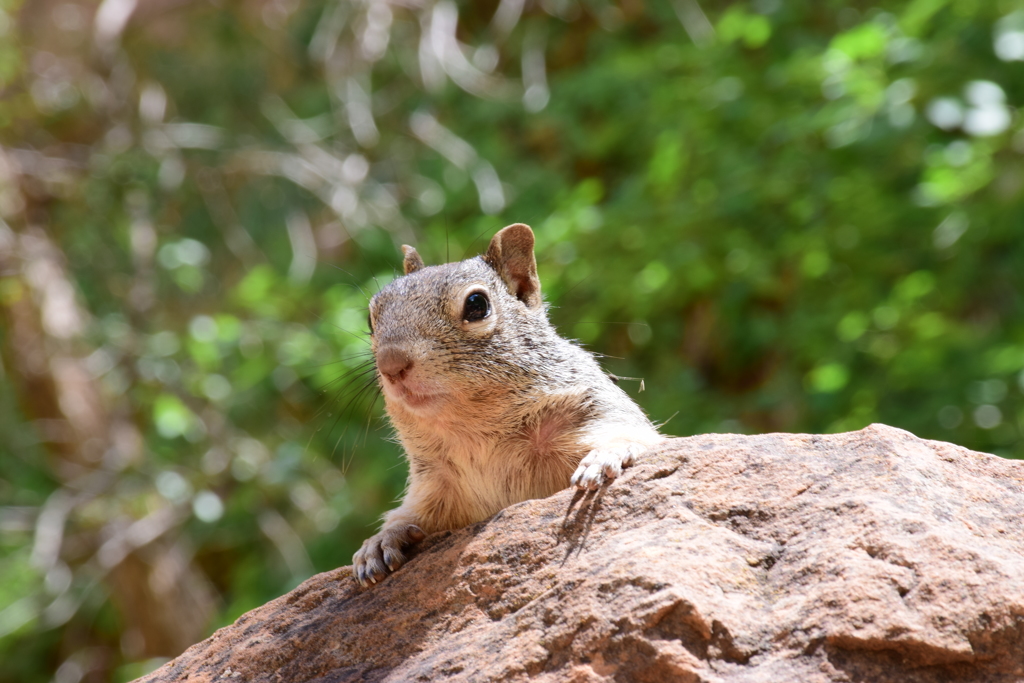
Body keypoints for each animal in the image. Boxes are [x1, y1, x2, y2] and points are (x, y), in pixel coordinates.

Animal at [352, 224, 663, 589]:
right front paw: (380, 541)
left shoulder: (596, 407)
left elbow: (635, 437)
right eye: (370, 318)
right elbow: (414, 513)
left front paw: (605, 456)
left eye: (477, 304)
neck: (476, 431)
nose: (391, 364)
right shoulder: (435, 483)